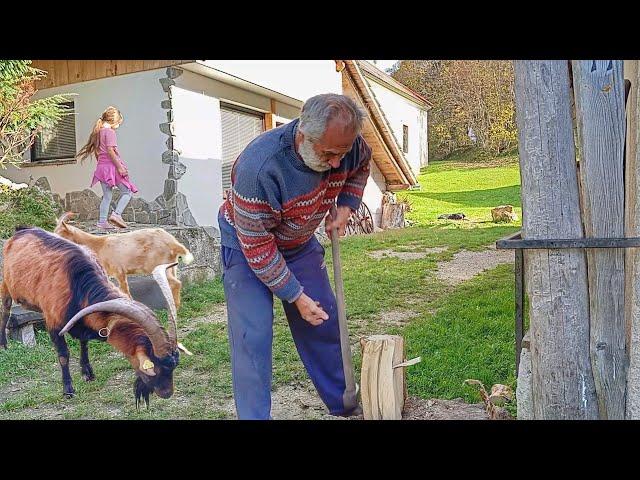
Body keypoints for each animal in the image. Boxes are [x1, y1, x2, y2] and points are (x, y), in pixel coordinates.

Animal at [0, 227, 190, 406]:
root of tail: (21, 230)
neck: (77, 284)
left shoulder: (82, 321)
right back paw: (4, 344)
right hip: (6, 285)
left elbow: (84, 344)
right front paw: (68, 390)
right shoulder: (54, 323)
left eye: (174, 366)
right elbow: (63, 355)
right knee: (5, 309)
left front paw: (87, 373)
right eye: (154, 366)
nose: (167, 393)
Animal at [53, 213, 194, 310]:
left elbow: (124, 289)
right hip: (171, 265)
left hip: (158, 264)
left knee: (176, 283)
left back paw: (176, 307)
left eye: (60, 234)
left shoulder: (119, 270)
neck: (98, 245)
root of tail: (172, 242)